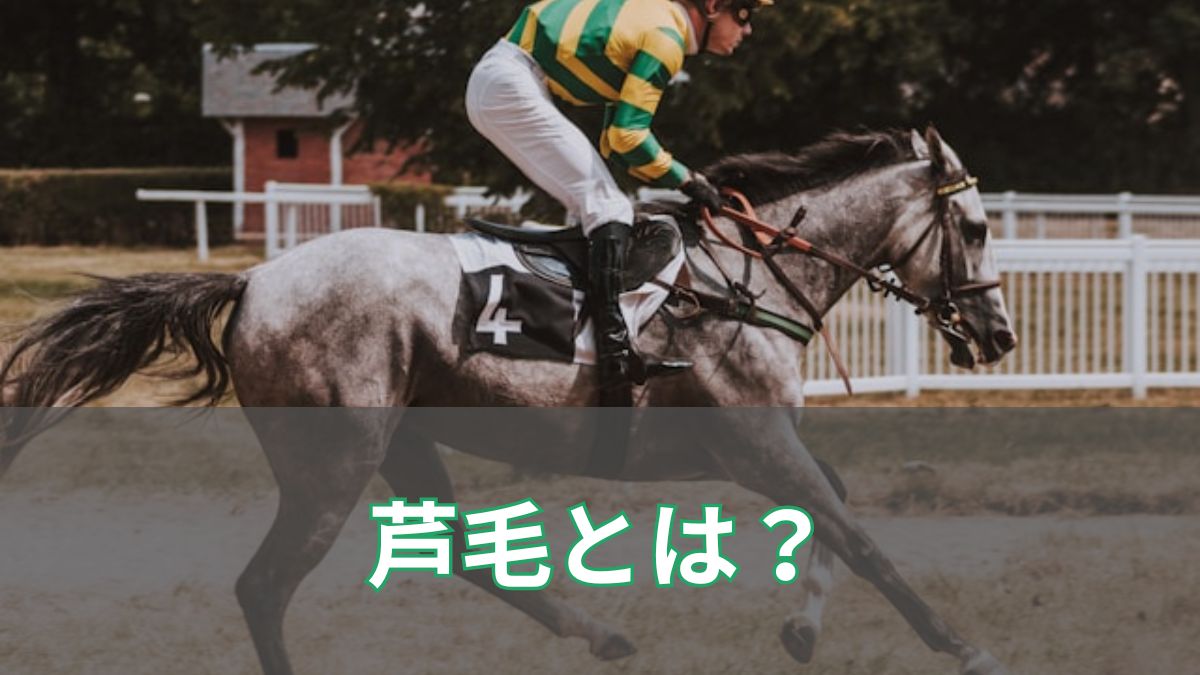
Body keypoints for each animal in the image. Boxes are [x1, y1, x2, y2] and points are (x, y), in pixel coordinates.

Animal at [0, 126, 1016, 674]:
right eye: (975, 226)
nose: (1000, 334)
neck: (750, 276)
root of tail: (251, 282)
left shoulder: (752, 448)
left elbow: (837, 506)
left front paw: (802, 628)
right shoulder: (756, 445)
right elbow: (860, 535)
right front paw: (963, 643)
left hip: (401, 442)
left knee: (458, 548)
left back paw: (602, 632)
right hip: (333, 462)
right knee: (264, 584)